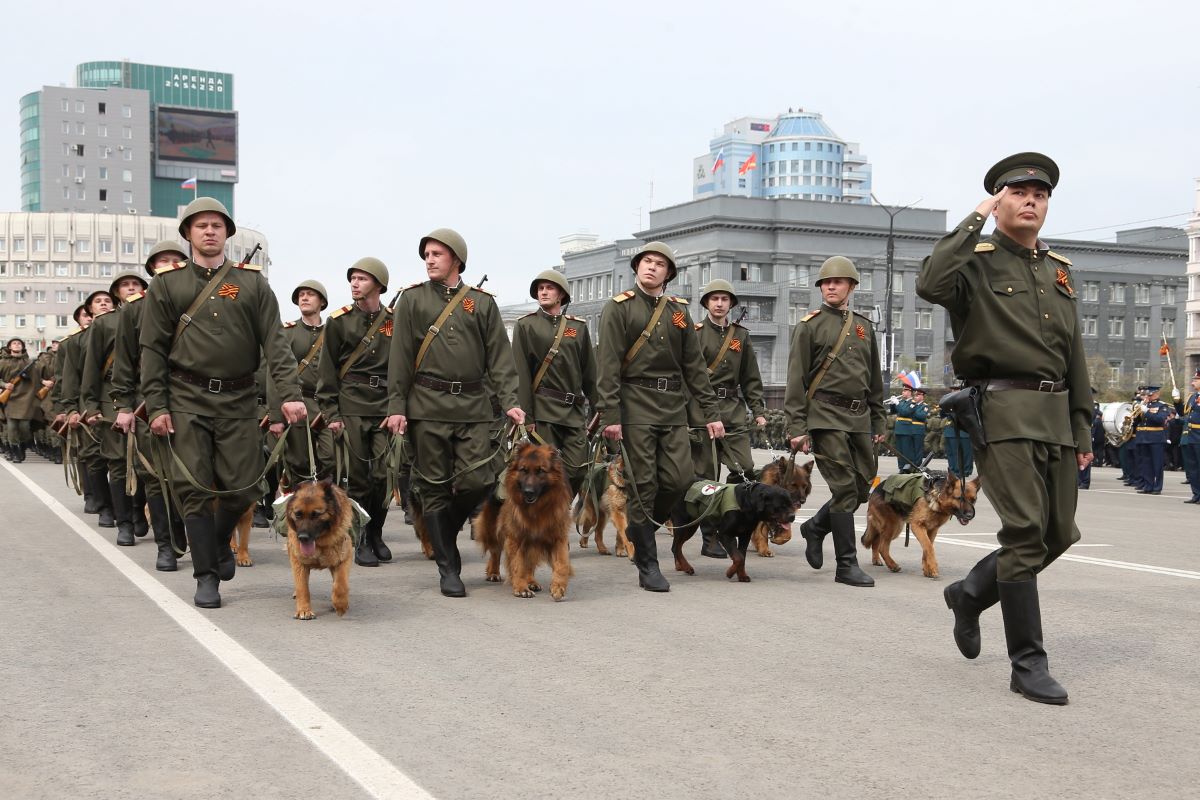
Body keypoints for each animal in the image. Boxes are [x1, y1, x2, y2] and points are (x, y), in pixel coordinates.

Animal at [284, 479, 350, 623]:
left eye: (316, 515)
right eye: (298, 514)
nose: (302, 538)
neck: (320, 542)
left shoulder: (344, 557)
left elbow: (341, 584)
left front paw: (340, 604)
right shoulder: (298, 561)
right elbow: (302, 587)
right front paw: (304, 610)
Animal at [472, 443, 576, 599]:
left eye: (540, 471)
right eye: (523, 470)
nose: (528, 492)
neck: (537, 509)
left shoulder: (558, 537)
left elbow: (562, 564)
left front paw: (558, 587)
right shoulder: (516, 537)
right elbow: (517, 563)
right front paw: (521, 588)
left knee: (529, 562)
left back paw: (531, 581)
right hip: (492, 528)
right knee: (495, 551)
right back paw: (494, 572)